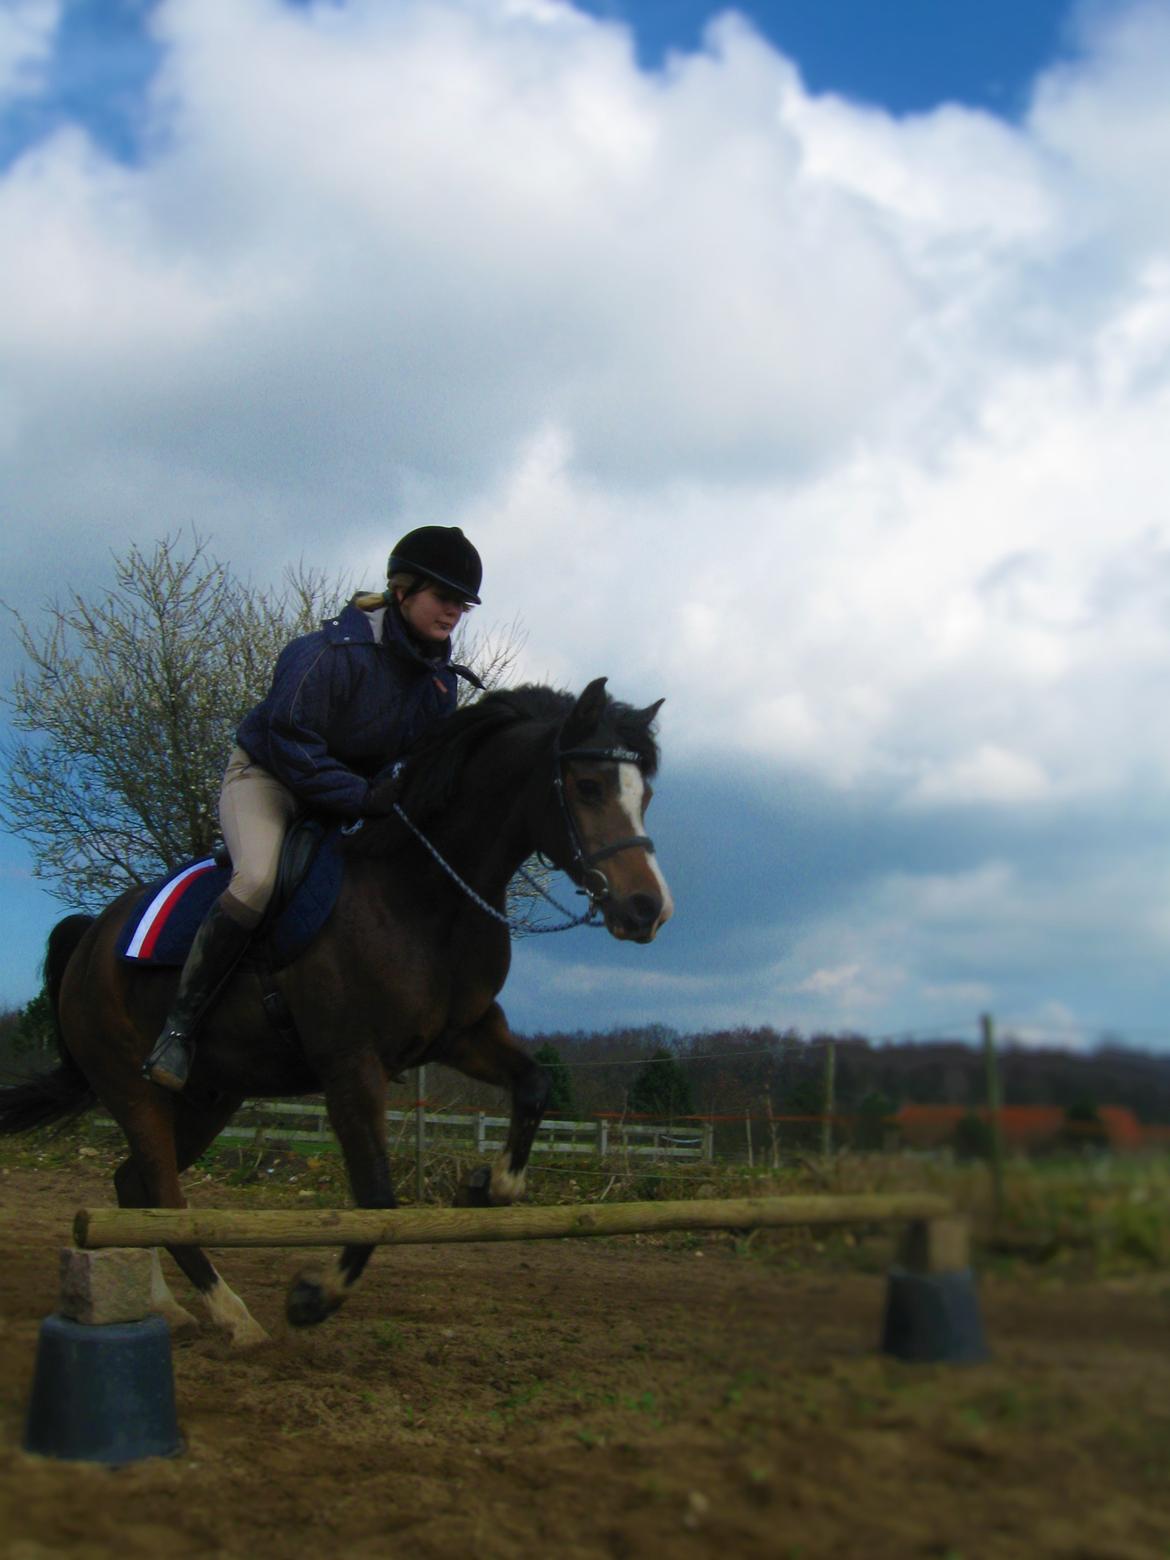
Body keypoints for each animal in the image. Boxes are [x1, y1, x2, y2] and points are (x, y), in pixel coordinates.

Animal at [0, 677, 673, 1347]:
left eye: (646, 795)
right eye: (588, 786)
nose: (648, 908)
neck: (424, 894)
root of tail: (91, 938)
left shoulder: (461, 1034)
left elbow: (533, 1086)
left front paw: (486, 1186)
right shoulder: (351, 1063)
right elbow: (377, 1198)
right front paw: (313, 1297)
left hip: (210, 1098)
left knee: (136, 1187)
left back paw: (167, 1306)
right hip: (132, 1086)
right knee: (162, 1191)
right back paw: (233, 1316)